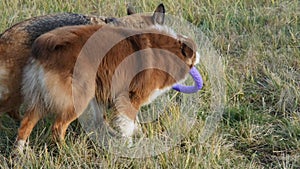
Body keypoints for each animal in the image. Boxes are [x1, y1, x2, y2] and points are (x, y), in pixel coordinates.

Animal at [15, 19, 199, 151]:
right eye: (195, 52)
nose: (199, 56)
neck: (168, 50)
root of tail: (45, 46)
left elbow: (128, 121)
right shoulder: (131, 96)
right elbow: (127, 122)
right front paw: (128, 145)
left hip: (40, 94)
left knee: (26, 124)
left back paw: (18, 154)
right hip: (78, 97)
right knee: (58, 127)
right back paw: (64, 150)